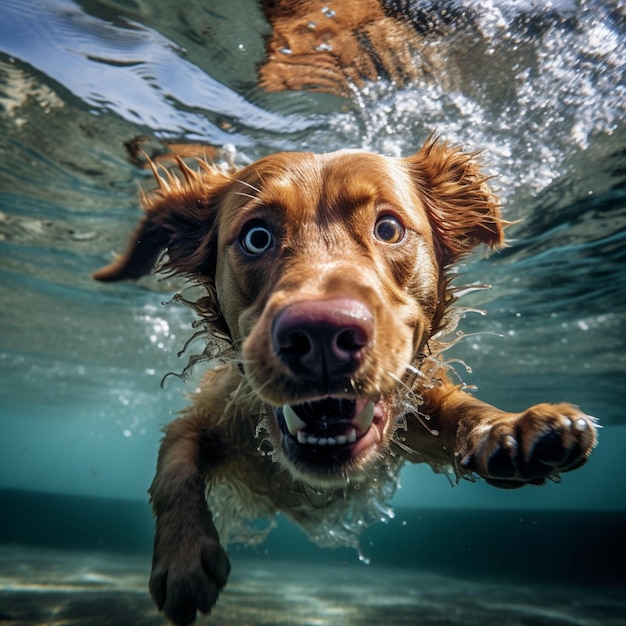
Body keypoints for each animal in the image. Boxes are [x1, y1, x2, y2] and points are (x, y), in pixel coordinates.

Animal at [92, 139, 596, 620]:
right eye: (257, 237)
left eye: (388, 228)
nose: (320, 335)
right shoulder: (210, 414)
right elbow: (174, 468)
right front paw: (183, 557)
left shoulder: (415, 413)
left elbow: (459, 408)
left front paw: (507, 427)